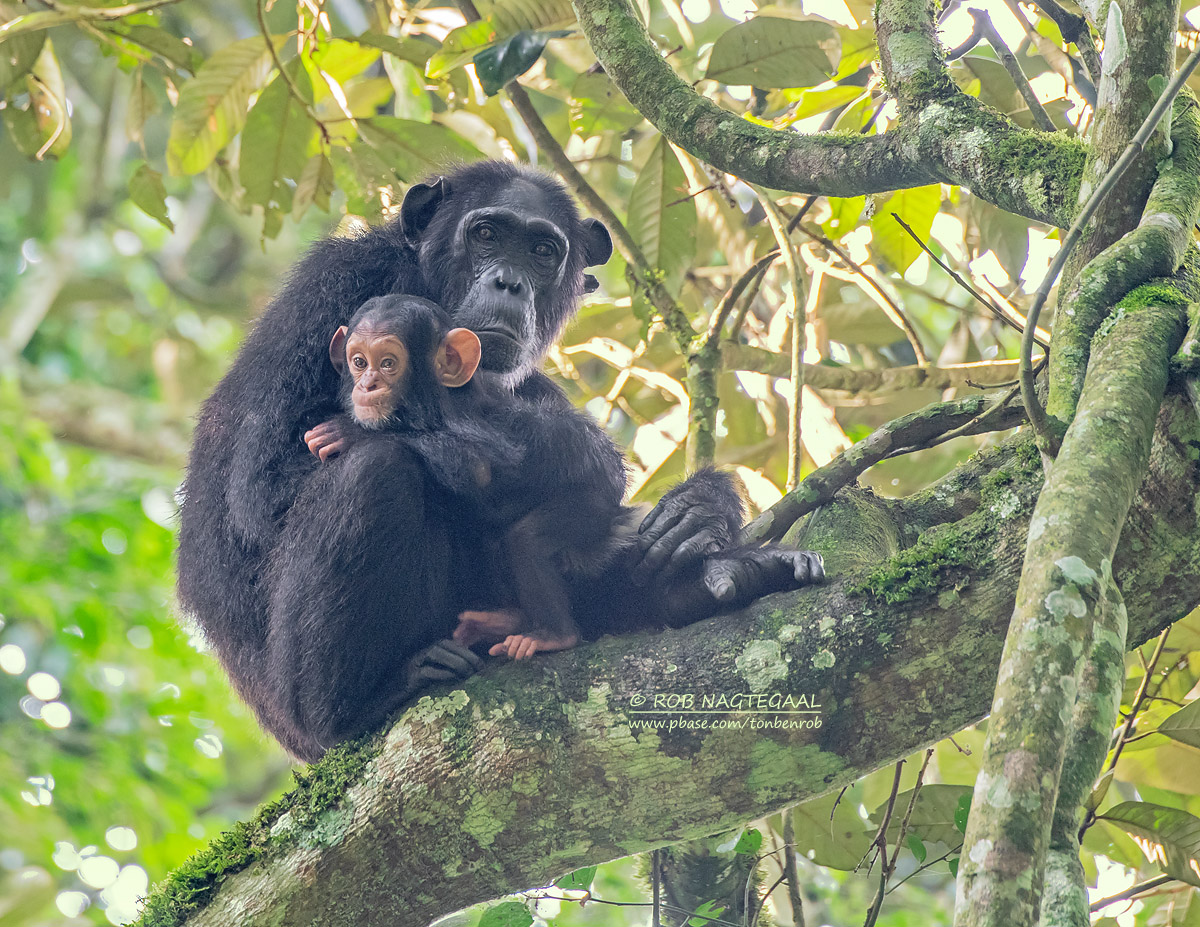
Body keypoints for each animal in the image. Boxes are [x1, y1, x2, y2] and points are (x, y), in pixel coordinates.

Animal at [175, 163, 816, 763]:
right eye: (485, 234)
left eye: (541, 251)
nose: (509, 282)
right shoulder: (329, 290)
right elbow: (264, 484)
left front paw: (700, 508)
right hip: (293, 711)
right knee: (372, 472)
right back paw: (358, 705)